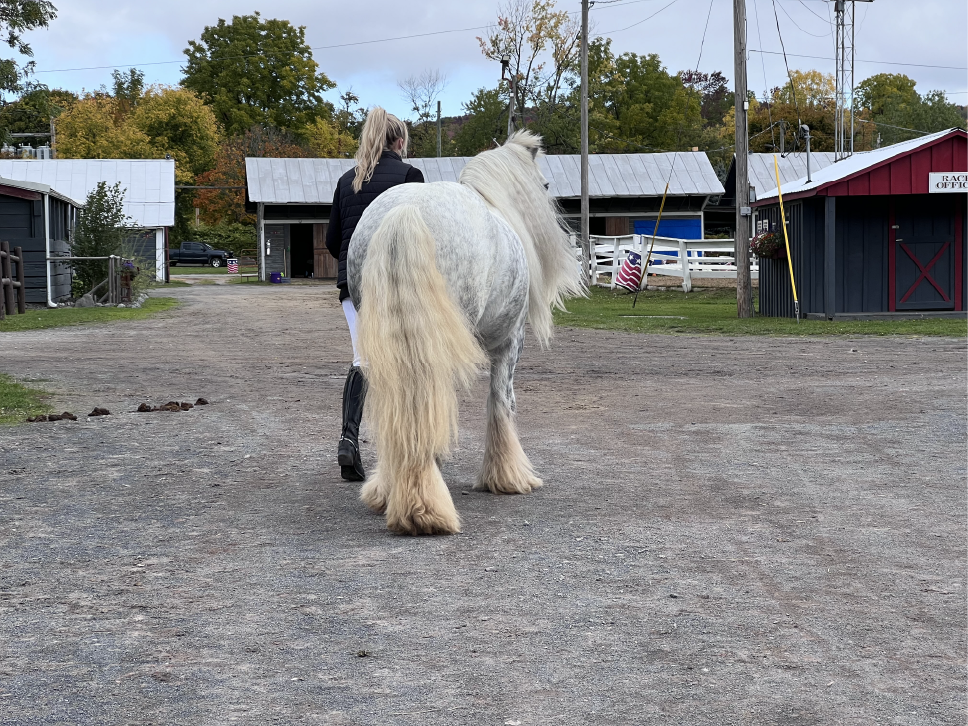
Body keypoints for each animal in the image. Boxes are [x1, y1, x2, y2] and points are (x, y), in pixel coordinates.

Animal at [346, 130, 585, 536]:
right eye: (546, 184)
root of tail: (406, 211)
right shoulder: (510, 343)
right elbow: (502, 402)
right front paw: (507, 476)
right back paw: (424, 508)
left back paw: (391, 490)